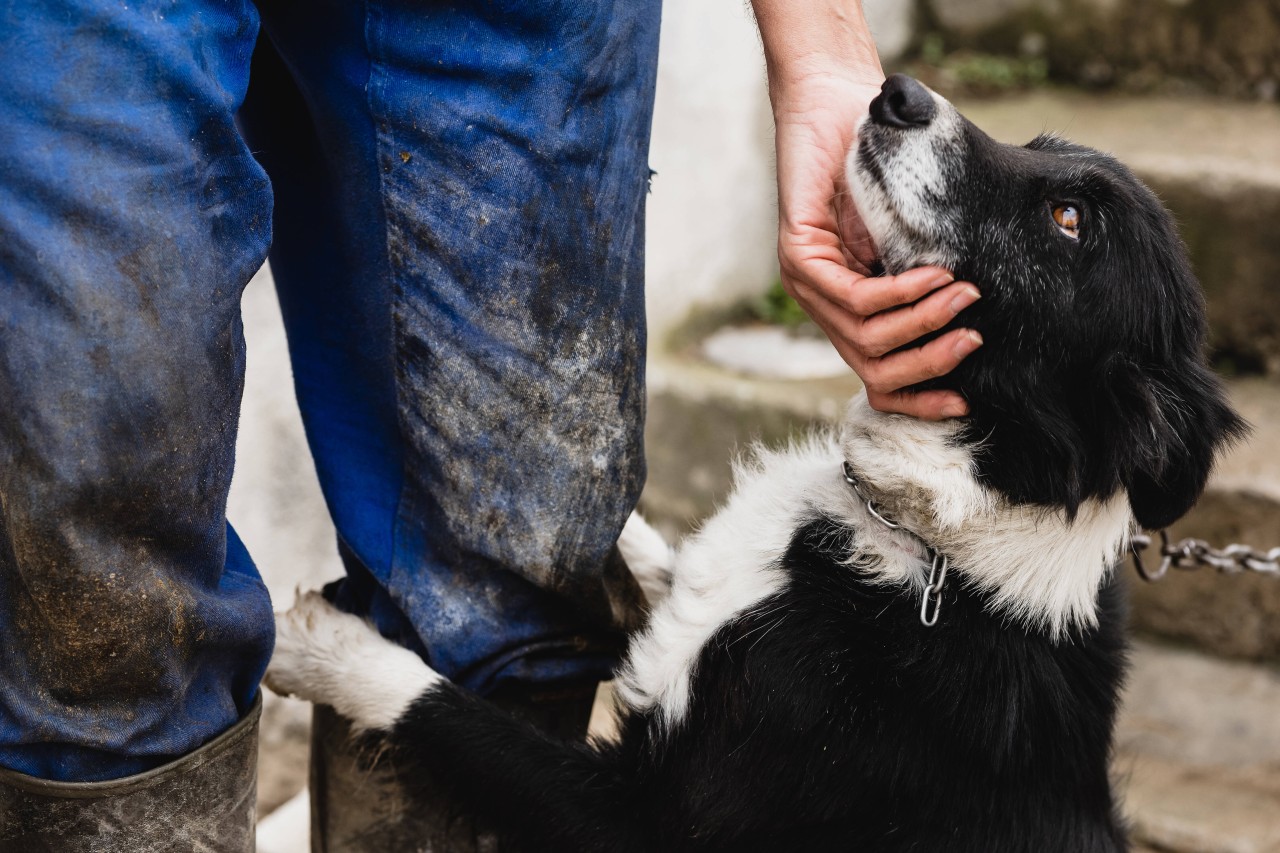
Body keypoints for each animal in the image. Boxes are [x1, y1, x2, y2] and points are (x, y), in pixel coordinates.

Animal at [267, 76, 1239, 845]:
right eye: (1036, 151)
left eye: (1068, 220)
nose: (897, 93)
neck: (934, 543)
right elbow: (659, 551)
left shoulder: (648, 821)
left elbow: (451, 714)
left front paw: (320, 645)